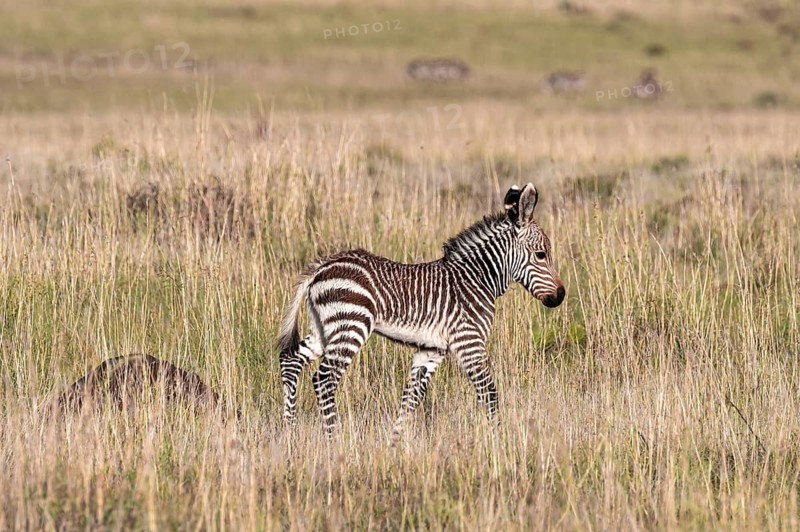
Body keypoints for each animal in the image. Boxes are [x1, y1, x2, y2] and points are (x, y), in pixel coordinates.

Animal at [278, 183, 565, 437]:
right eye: (541, 255)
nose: (561, 296)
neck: (475, 279)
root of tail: (321, 267)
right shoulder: (469, 343)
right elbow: (489, 394)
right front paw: (498, 442)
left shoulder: (431, 350)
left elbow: (411, 398)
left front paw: (394, 444)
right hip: (350, 326)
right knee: (324, 381)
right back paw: (333, 439)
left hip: (324, 328)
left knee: (290, 361)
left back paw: (289, 432)